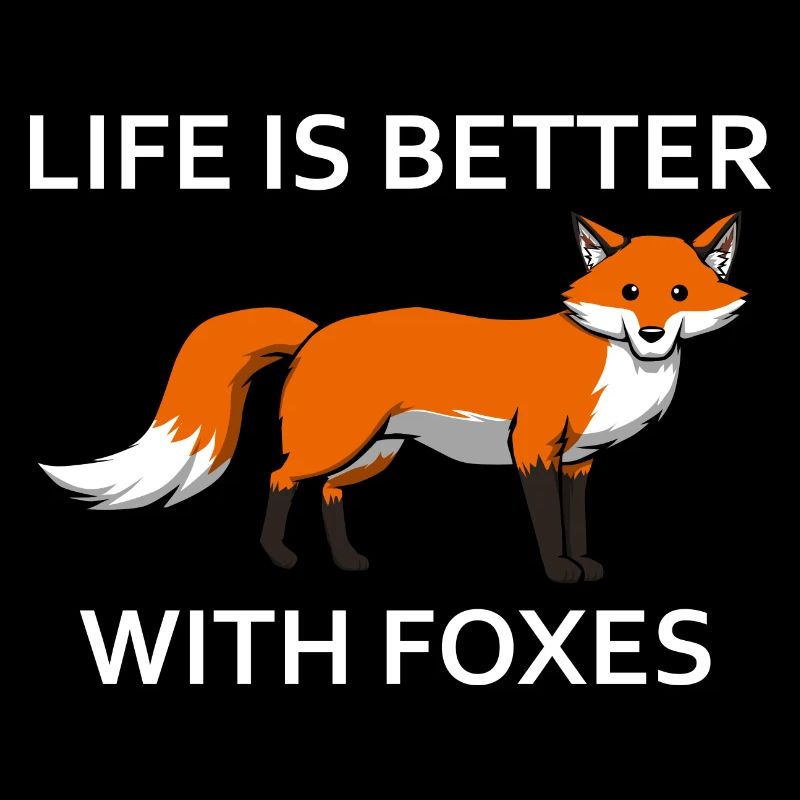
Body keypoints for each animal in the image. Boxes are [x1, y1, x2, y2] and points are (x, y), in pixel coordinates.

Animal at [40, 213, 746, 582]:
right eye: (628, 292)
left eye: (679, 294)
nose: (651, 334)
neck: (619, 369)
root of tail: (316, 332)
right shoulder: (533, 449)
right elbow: (548, 524)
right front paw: (557, 572)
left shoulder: (580, 462)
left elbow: (576, 520)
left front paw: (585, 563)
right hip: (336, 441)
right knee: (281, 477)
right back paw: (279, 556)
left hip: (376, 454)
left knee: (327, 492)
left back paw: (348, 560)